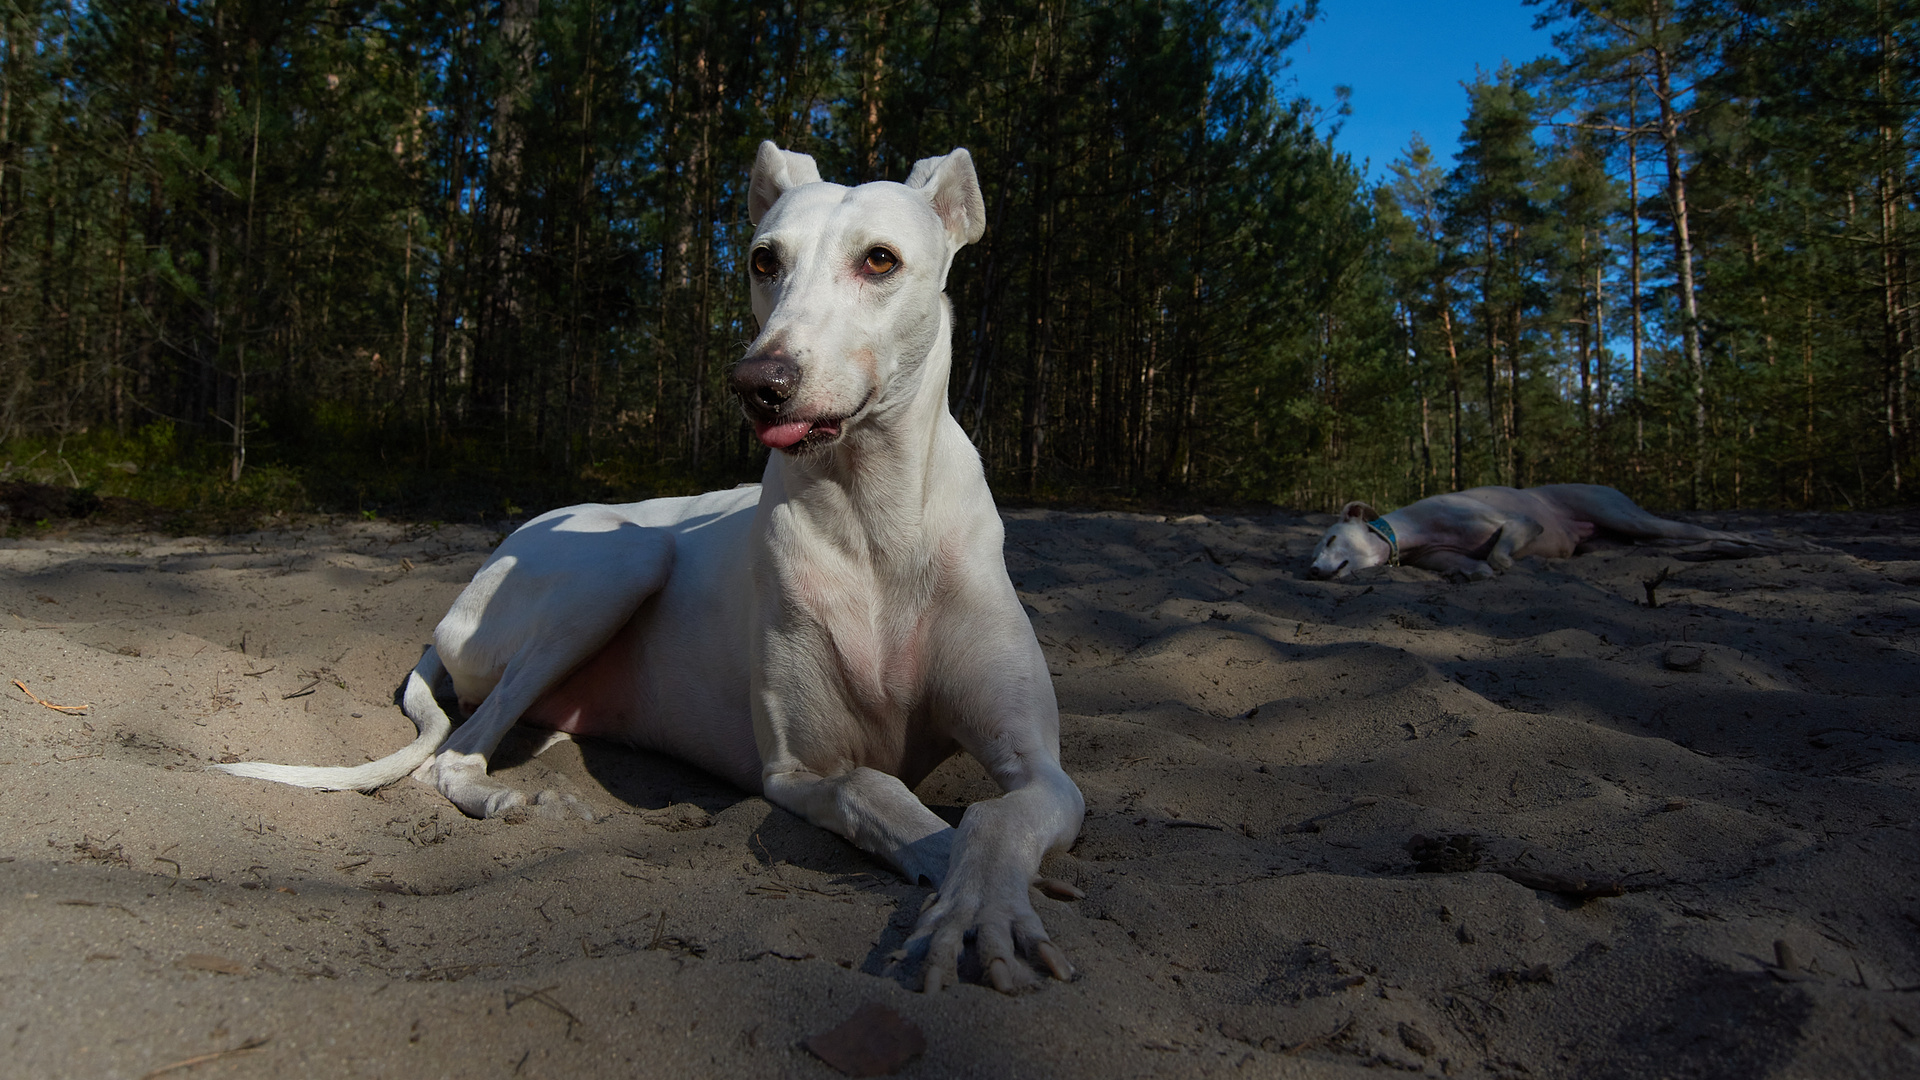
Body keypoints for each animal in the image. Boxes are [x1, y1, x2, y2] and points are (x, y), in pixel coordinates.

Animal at [217, 143, 1090, 991]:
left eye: (880, 259)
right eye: (763, 259)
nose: (759, 384)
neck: (873, 521)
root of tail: (454, 608)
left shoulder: (1042, 770)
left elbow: (1000, 815)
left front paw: (988, 897)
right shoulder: (798, 771)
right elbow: (888, 797)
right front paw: (974, 900)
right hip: (622, 560)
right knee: (454, 755)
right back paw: (518, 799)